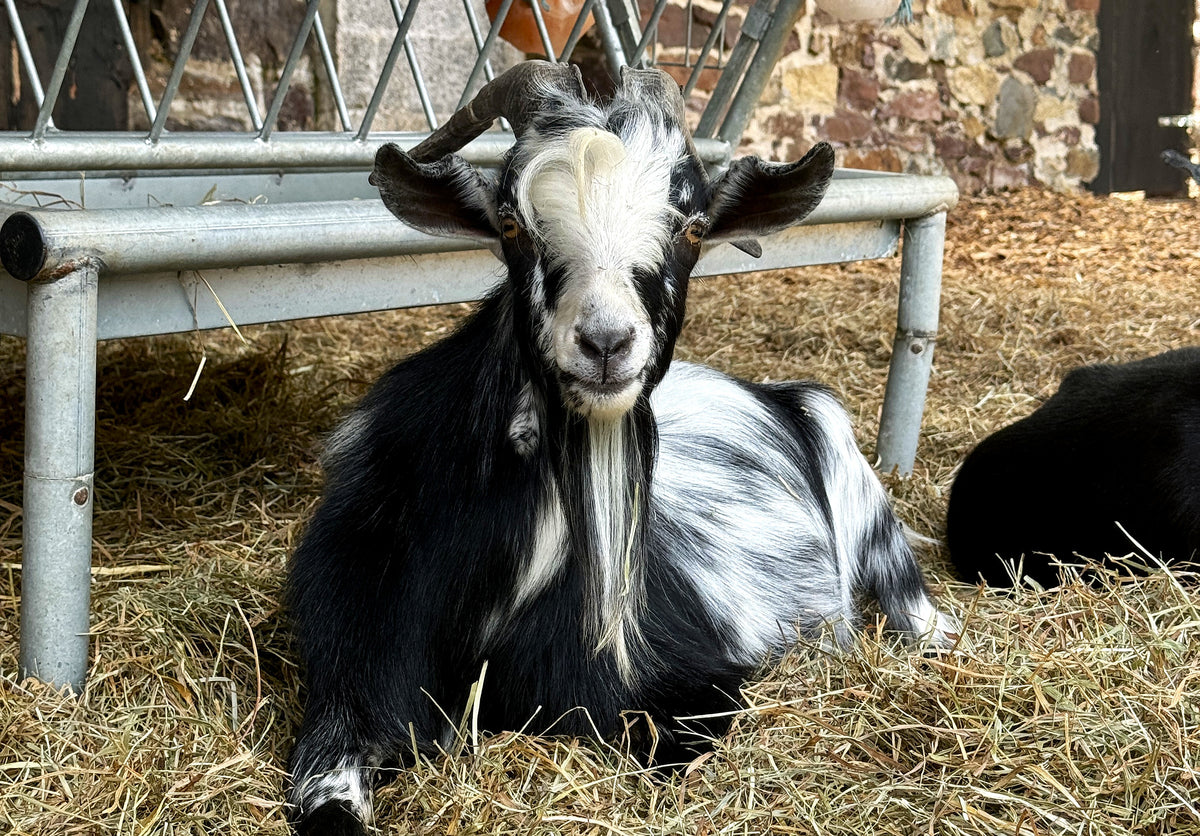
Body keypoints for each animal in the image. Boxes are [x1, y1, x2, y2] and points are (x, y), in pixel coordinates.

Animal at [285, 60, 958, 836]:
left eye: (692, 228)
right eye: (511, 223)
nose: (606, 342)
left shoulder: (690, 684)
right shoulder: (351, 669)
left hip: (849, 464)